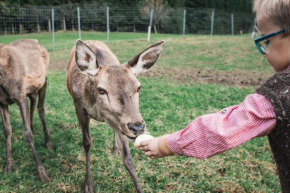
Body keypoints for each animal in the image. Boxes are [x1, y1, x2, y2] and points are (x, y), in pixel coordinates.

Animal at [0, 38, 51, 182]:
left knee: (40, 108)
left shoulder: (20, 97)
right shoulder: (2, 102)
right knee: (32, 103)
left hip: (44, 81)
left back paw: (48, 141)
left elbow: (27, 133)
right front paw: (8, 166)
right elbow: (7, 130)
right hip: (30, 89)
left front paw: (42, 172)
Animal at [66, 40, 164, 192]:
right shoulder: (79, 105)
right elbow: (87, 142)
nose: (137, 127)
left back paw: (114, 149)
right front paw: (88, 184)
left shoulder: (120, 123)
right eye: (101, 90)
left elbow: (128, 158)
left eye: (138, 87)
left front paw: (139, 188)